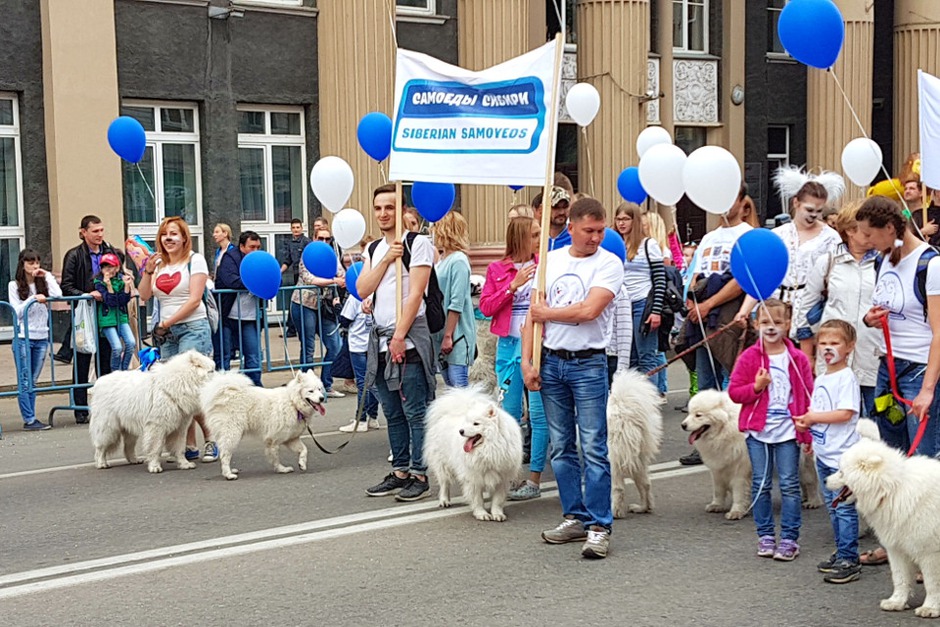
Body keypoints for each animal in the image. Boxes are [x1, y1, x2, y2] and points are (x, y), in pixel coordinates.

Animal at [424, 386, 524, 524]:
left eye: (476, 423)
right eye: (466, 422)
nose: (460, 431)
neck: (489, 449)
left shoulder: (502, 476)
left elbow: (497, 499)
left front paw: (497, 514)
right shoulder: (473, 477)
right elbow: (477, 499)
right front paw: (482, 514)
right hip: (443, 464)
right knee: (444, 483)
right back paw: (444, 500)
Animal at [604, 370, 664, 516]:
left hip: (614, 458)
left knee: (618, 488)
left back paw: (614, 513)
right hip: (638, 457)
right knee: (646, 484)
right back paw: (642, 508)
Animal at [828, 420, 940, 620]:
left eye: (841, 472)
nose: (825, 480)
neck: (891, 490)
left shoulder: (930, 553)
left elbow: (932, 584)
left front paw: (930, 607)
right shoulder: (897, 548)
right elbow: (900, 578)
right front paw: (897, 602)